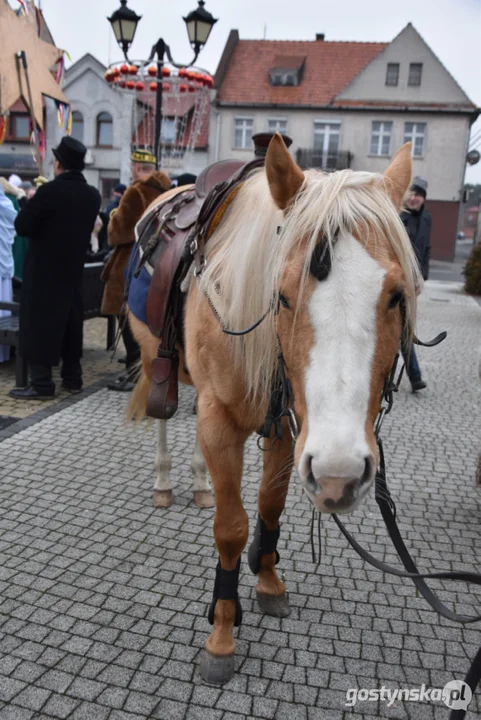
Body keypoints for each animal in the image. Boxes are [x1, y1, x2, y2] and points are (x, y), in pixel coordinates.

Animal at [126, 138, 420, 684]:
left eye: (396, 296)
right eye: (281, 296)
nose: (339, 475)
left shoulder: (287, 429)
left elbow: (269, 505)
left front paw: (266, 579)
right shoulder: (221, 421)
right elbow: (231, 528)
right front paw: (222, 634)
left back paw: (198, 484)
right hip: (156, 357)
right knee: (162, 420)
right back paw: (164, 483)